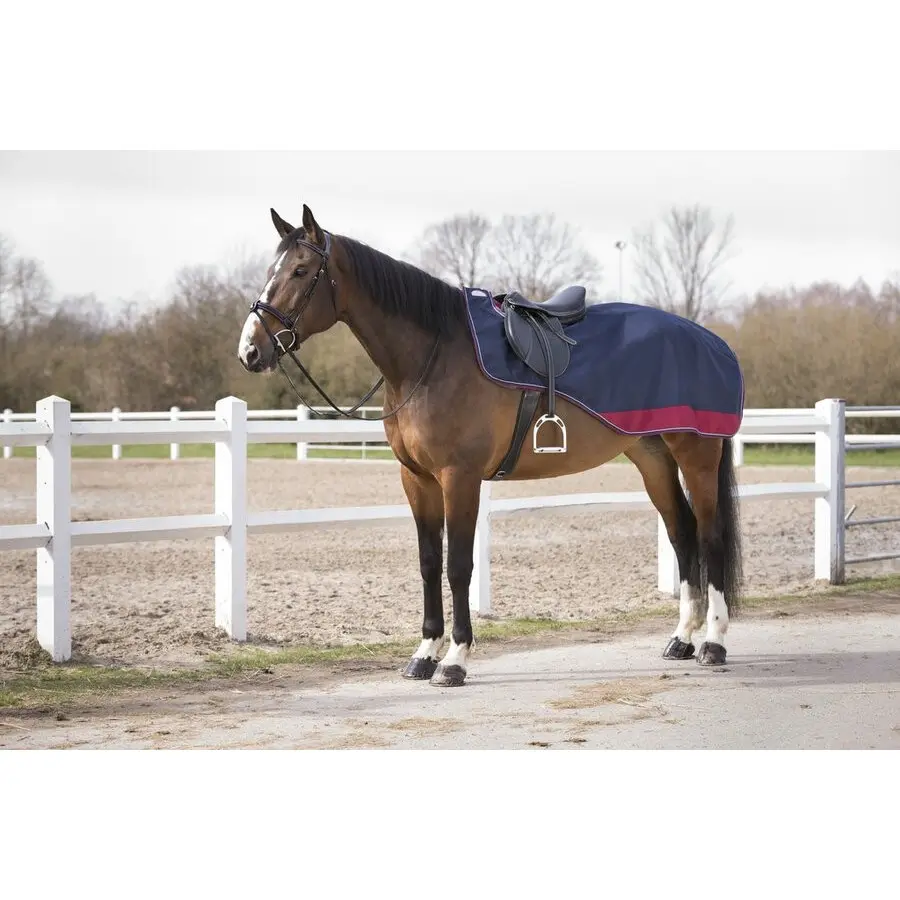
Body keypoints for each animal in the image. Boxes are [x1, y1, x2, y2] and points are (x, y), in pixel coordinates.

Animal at [237, 204, 743, 687]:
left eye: (301, 270)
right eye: (271, 269)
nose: (250, 351)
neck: (433, 357)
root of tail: (711, 341)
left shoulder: (459, 477)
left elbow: (458, 565)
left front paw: (454, 660)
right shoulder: (416, 479)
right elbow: (428, 562)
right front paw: (424, 653)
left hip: (697, 456)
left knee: (710, 535)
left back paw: (713, 643)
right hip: (651, 458)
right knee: (681, 533)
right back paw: (681, 639)